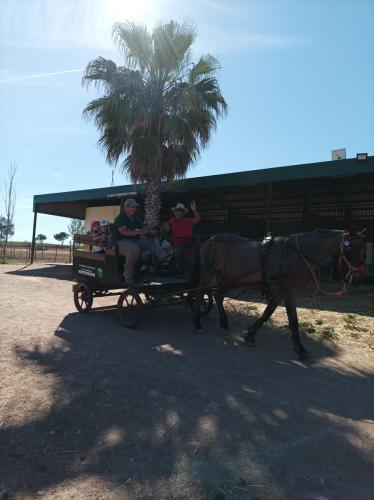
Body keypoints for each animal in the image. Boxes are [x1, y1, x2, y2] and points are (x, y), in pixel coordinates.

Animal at [193, 229, 348, 362]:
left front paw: (250, 335)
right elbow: (293, 320)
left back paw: (224, 324)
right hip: (208, 274)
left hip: (229, 278)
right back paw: (198, 324)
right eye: (350, 250)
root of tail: (211, 239)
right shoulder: (287, 292)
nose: (349, 278)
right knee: (199, 293)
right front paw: (301, 350)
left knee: (218, 296)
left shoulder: (278, 293)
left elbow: (267, 313)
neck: (294, 256)